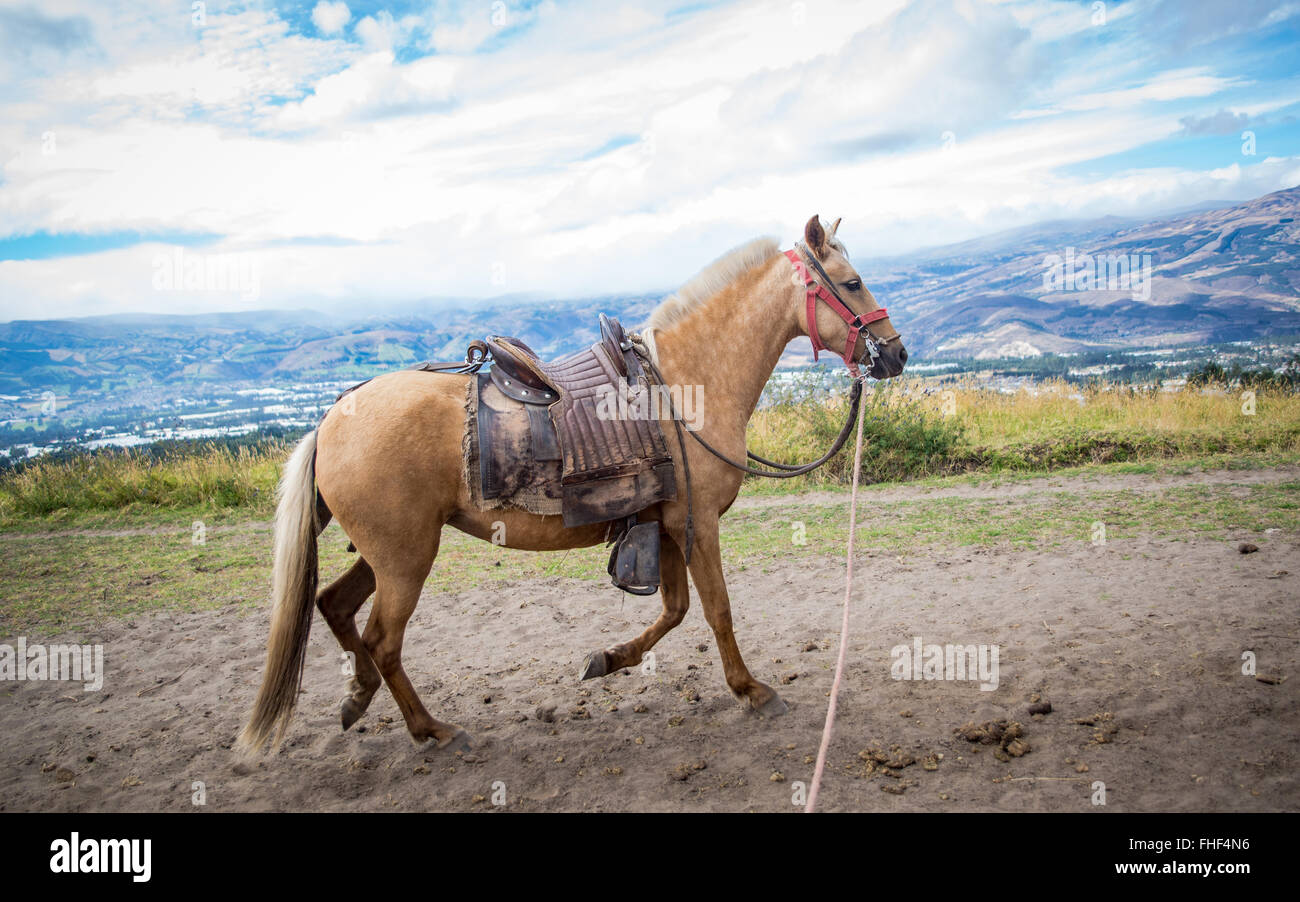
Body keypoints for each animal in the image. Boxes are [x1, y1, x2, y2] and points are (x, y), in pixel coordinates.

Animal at [236, 219, 904, 753]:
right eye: (851, 284)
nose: (895, 354)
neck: (682, 386)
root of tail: (331, 420)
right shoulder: (697, 525)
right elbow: (716, 610)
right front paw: (750, 690)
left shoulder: (663, 525)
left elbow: (675, 610)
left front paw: (608, 660)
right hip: (405, 560)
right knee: (383, 640)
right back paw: (432, 730)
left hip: (389, 552)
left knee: (335, 606)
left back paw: (358, 697)